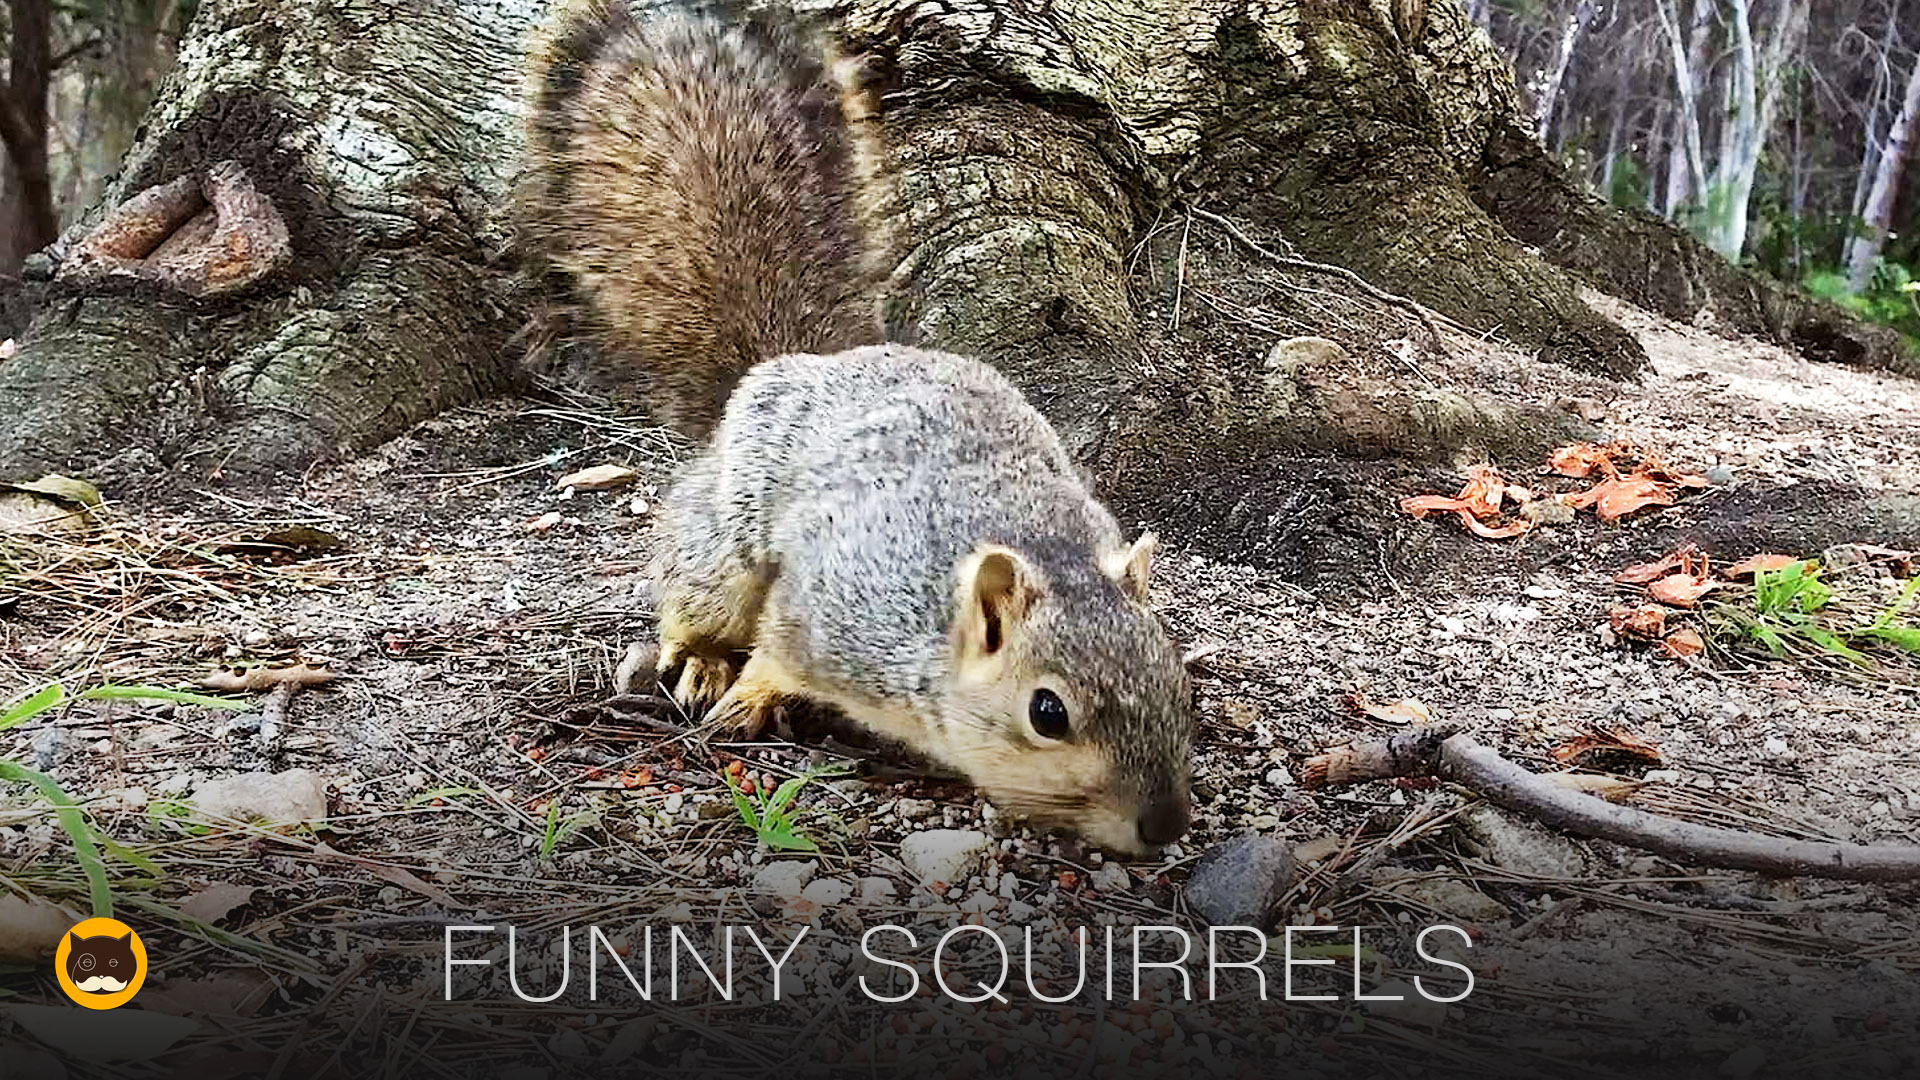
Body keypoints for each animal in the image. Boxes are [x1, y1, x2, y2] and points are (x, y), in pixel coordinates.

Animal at [518, 0, 1195, 853]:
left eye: (1176, 679)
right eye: (1048, 712)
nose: (1166, 825)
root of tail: (806, 362)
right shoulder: (832, 611)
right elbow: (776, 651)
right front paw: (749, 699)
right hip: (723, 543)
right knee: (693, 595)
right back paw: (701, 662)